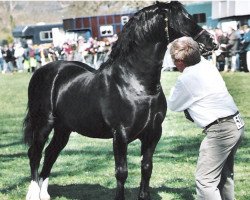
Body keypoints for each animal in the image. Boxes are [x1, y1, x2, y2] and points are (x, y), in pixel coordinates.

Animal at [24, 1, 217, 200]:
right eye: (182, 18)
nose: (211, 42)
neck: (135, 83)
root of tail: (43, 71)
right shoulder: (120, 134)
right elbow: (121, 172)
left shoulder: (153, 133)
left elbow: (146, 168)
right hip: (44, 124)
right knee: (35, 154)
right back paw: (33, 193)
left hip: (64, 129)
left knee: (50, 153)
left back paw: (44, 194)